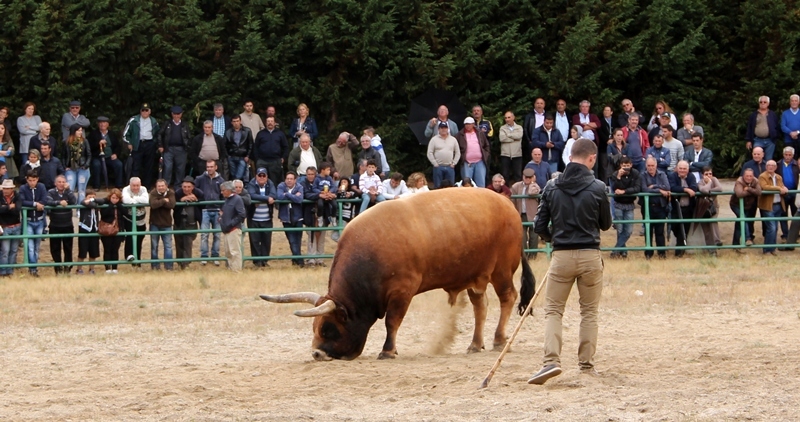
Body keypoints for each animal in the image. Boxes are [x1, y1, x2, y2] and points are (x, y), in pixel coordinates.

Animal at [262, 188, 536, 360]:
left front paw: (388, 350)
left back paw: (499, 339)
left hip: (501, 271)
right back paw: (475, 343)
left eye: (329, 328)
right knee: (481, 305)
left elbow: (392, 322)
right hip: (475, 276)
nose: (317, 353)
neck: (370, 253)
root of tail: (506, 204)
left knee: (508, 298)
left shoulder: (402, 291)